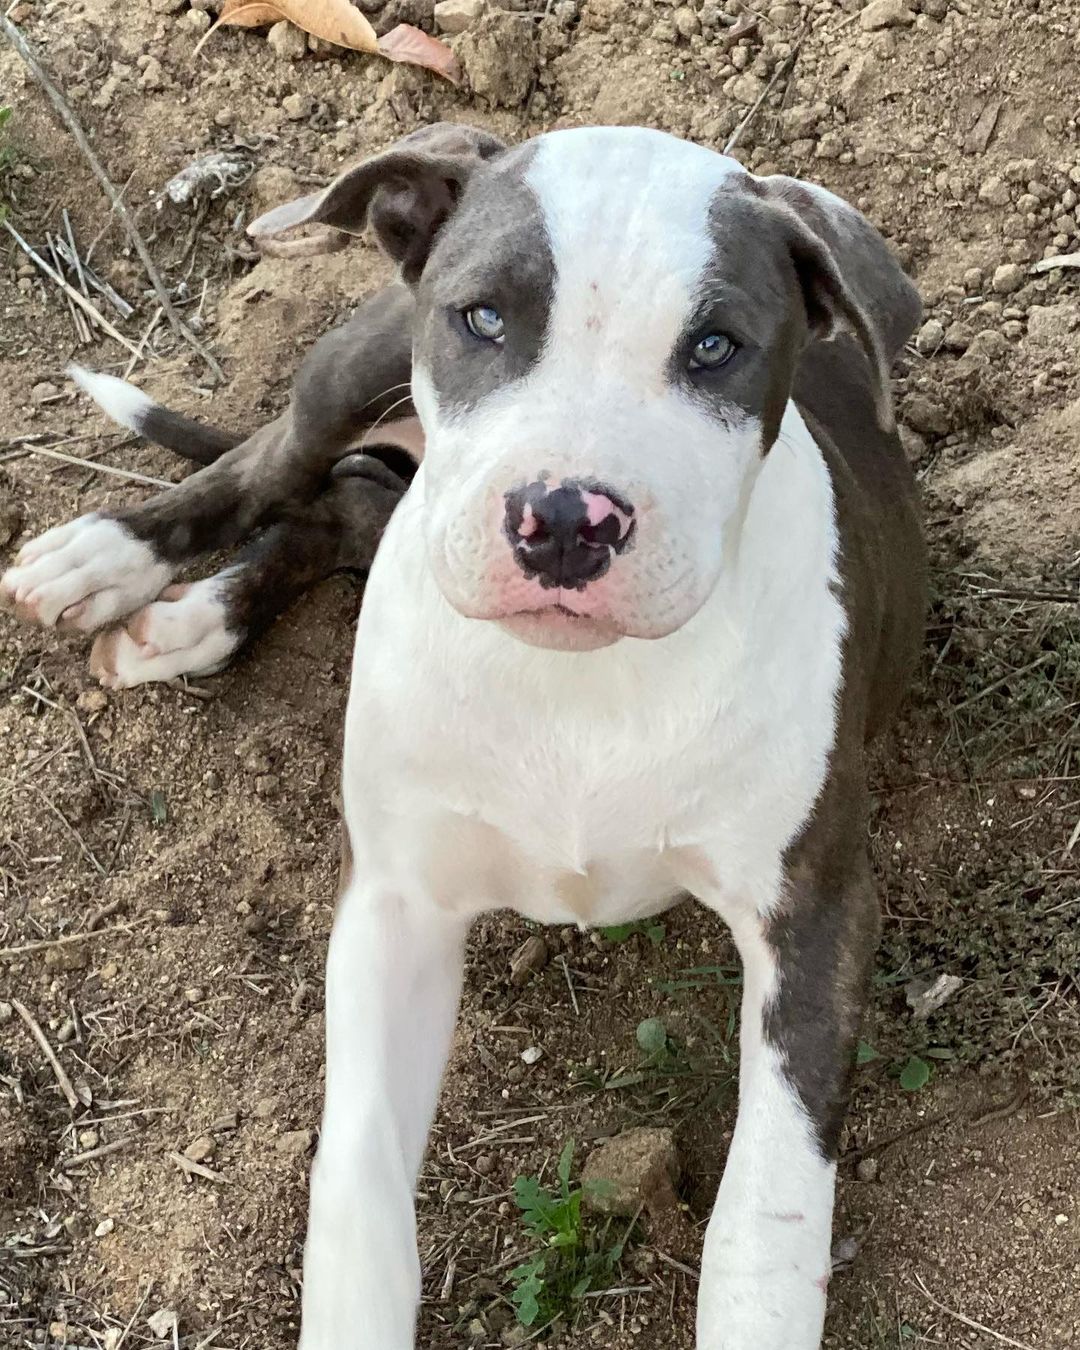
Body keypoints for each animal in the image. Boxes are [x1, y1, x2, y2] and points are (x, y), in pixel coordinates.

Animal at [2, 121, 928, 1344]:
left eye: (717, 346)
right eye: (484, 318)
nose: (568, 519)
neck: (579, 686)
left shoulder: (815, 909)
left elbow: (767, 1208)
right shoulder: (397, 904)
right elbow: (357, 1183)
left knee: (337, 508)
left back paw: (194, 614)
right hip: (352, 363)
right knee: (271, 467)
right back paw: (112, 563)